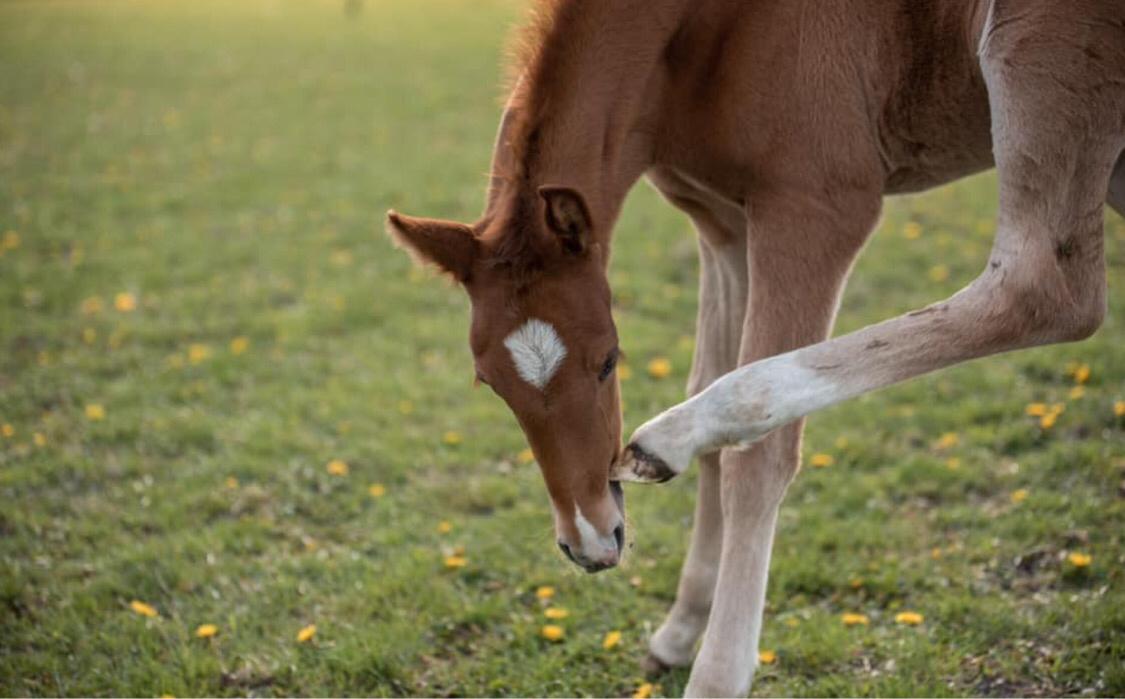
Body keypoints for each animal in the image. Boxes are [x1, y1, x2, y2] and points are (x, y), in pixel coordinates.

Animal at [389, 1, 1125, 693]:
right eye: (490, 383)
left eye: (607, 361)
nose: (591, 542)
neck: (702, 30)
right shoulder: (724, 225)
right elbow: (711, 399)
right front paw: (681, 627)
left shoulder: (814, 210)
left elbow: (758, 457)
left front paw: (715, 675)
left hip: (1038, 53)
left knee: (1046, 287)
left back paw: (674, 436)